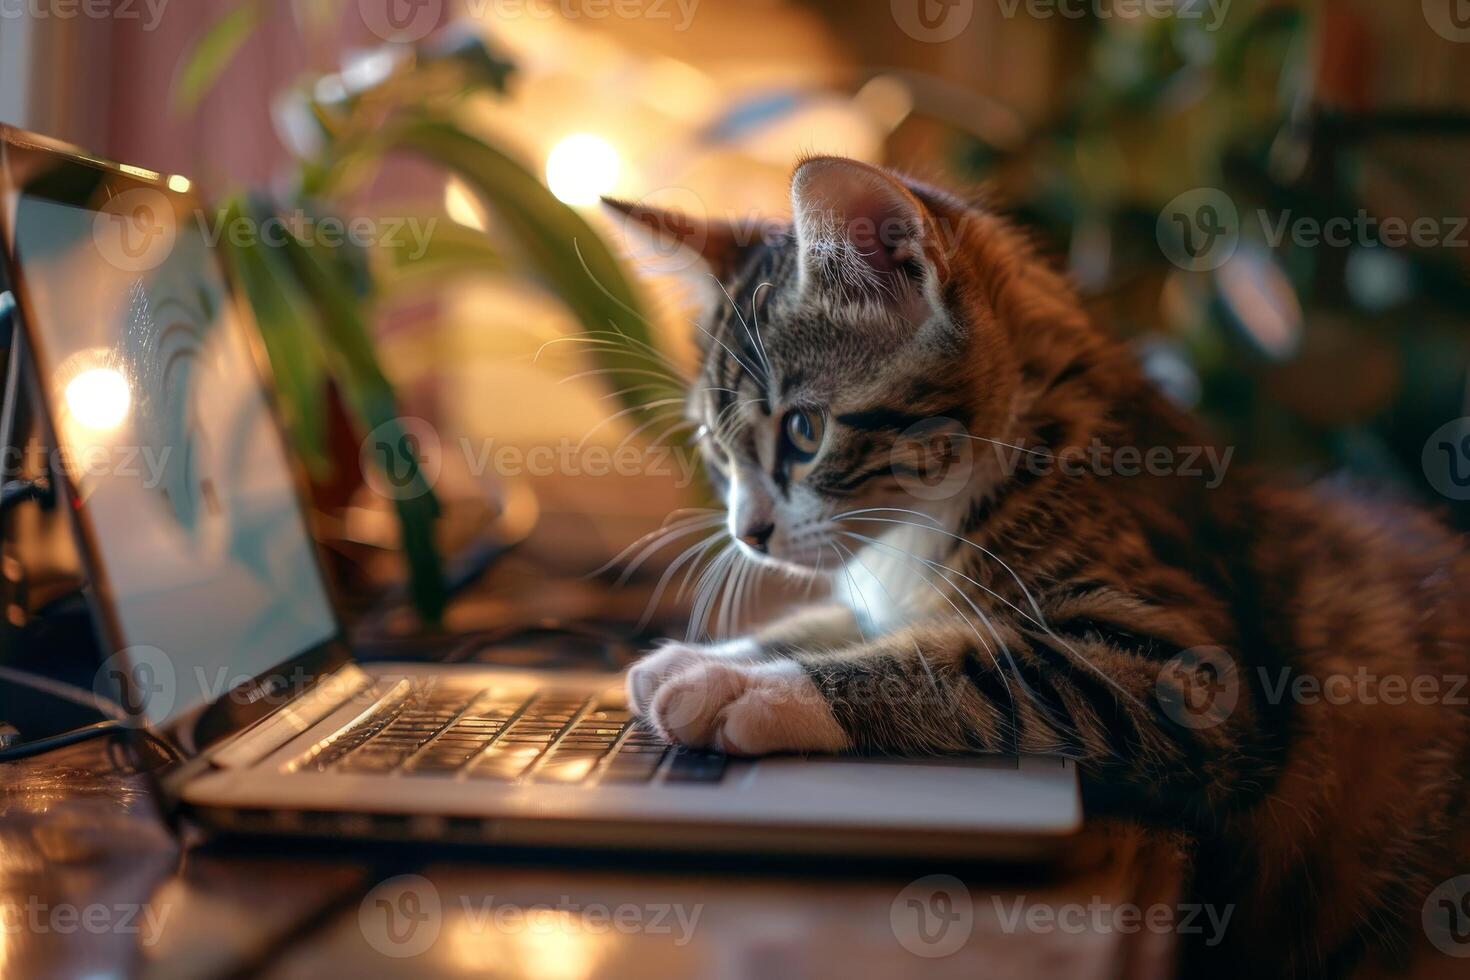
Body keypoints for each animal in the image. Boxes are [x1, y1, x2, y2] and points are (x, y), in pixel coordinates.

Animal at [599, 157, 1470, 975]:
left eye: (805, 433)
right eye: (717, 450)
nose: (749, 533)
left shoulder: (1198, 674)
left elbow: (981, 662)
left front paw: (750, 688)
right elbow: (841, 619)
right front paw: (707, 656)